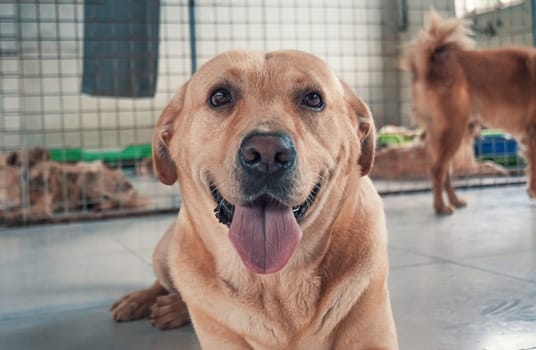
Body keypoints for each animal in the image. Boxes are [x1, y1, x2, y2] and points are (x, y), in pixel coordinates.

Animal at [110, 50, 398, 350]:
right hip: (165, 253)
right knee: (166, 284)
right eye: (220, 96)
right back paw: (143, 301)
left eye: (313, 99)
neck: (276, 280)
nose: (267, 154)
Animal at [402, 11, 536, 213]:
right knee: (437, 170)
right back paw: (441, 207)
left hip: (444, 134)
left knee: (444, 172)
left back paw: (454, 201)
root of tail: (433, 62)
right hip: (454, 130)